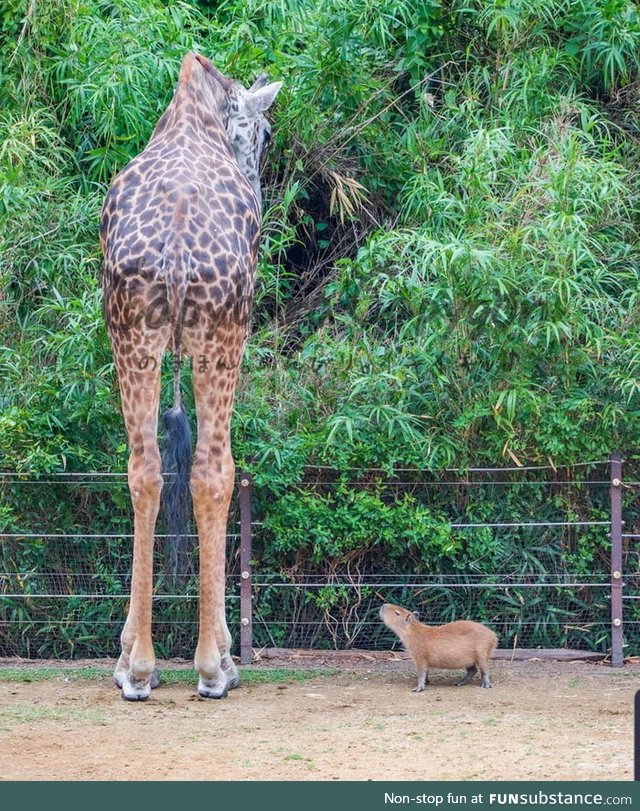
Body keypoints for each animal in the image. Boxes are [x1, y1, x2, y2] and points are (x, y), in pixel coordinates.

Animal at [99, 52, 280, 696]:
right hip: (220, 338)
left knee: (144, 470)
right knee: (212, 471)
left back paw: (137, 667)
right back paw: (211, 667)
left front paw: (130, 654)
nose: (258, 183)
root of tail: (176, 247)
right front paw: (224, 651)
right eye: (265, 132)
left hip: (132, 337)